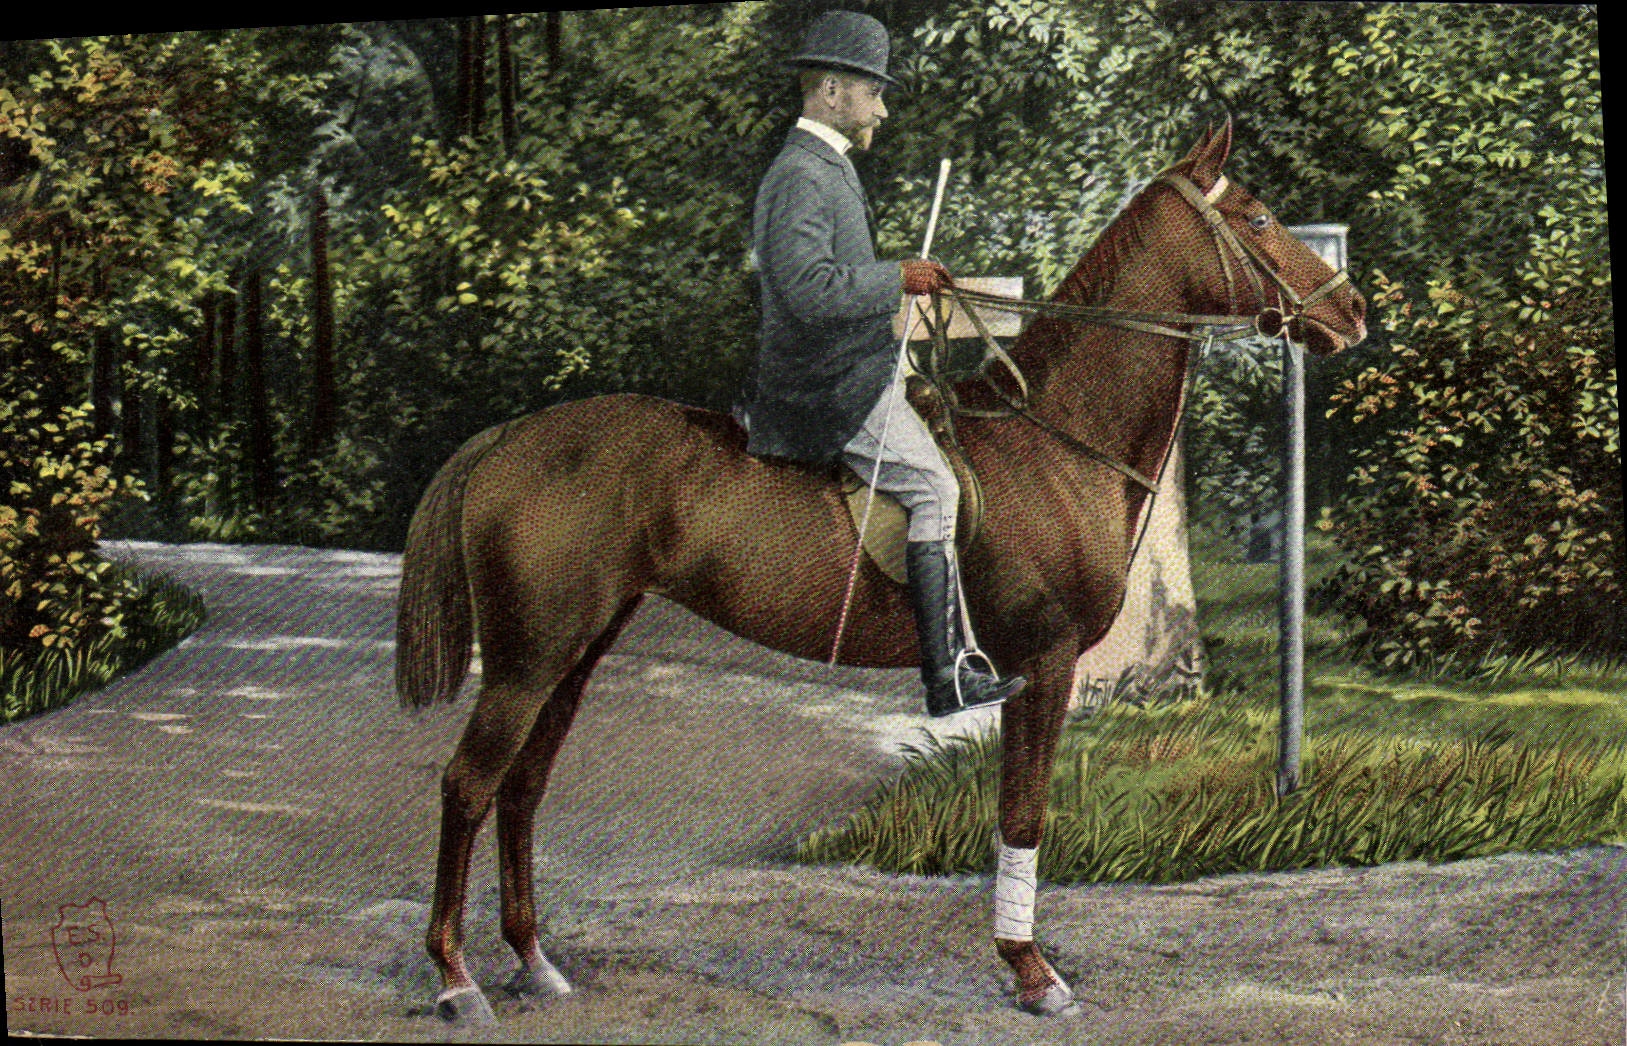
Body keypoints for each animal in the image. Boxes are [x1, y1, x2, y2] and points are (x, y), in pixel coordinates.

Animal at [394, 120, 1367, 1024]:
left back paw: (533, 962)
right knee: (467, 785)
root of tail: (505, 439)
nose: (1353, 309)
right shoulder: (1043, 663)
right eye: (1258, 216)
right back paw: (455, 978)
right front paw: (1031, 972)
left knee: (521, 788)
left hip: (574, 651)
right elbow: (1022, 814)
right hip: (527, 659)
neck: (1052, 441)